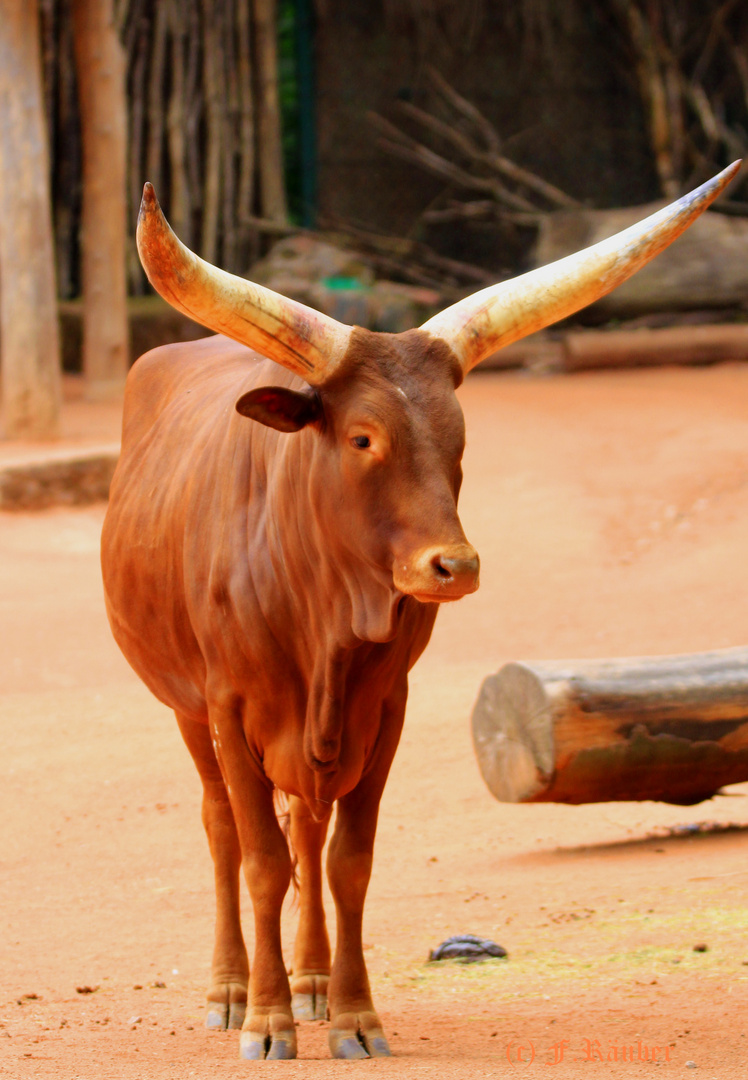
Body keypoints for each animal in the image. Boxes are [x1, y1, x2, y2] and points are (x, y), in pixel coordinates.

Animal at [102, 162, 738, 1062]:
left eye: (458, 439)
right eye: (363, 437)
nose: (454, 566)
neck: (326, 614)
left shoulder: (384, 705)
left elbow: (348, 859)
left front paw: (353, 1015)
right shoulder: (228, 702)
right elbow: (259, 858)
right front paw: (265, 1021)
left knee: (307, 828)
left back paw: (311, 982)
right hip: (186, 707)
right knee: (224, 829)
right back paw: (232, 990)